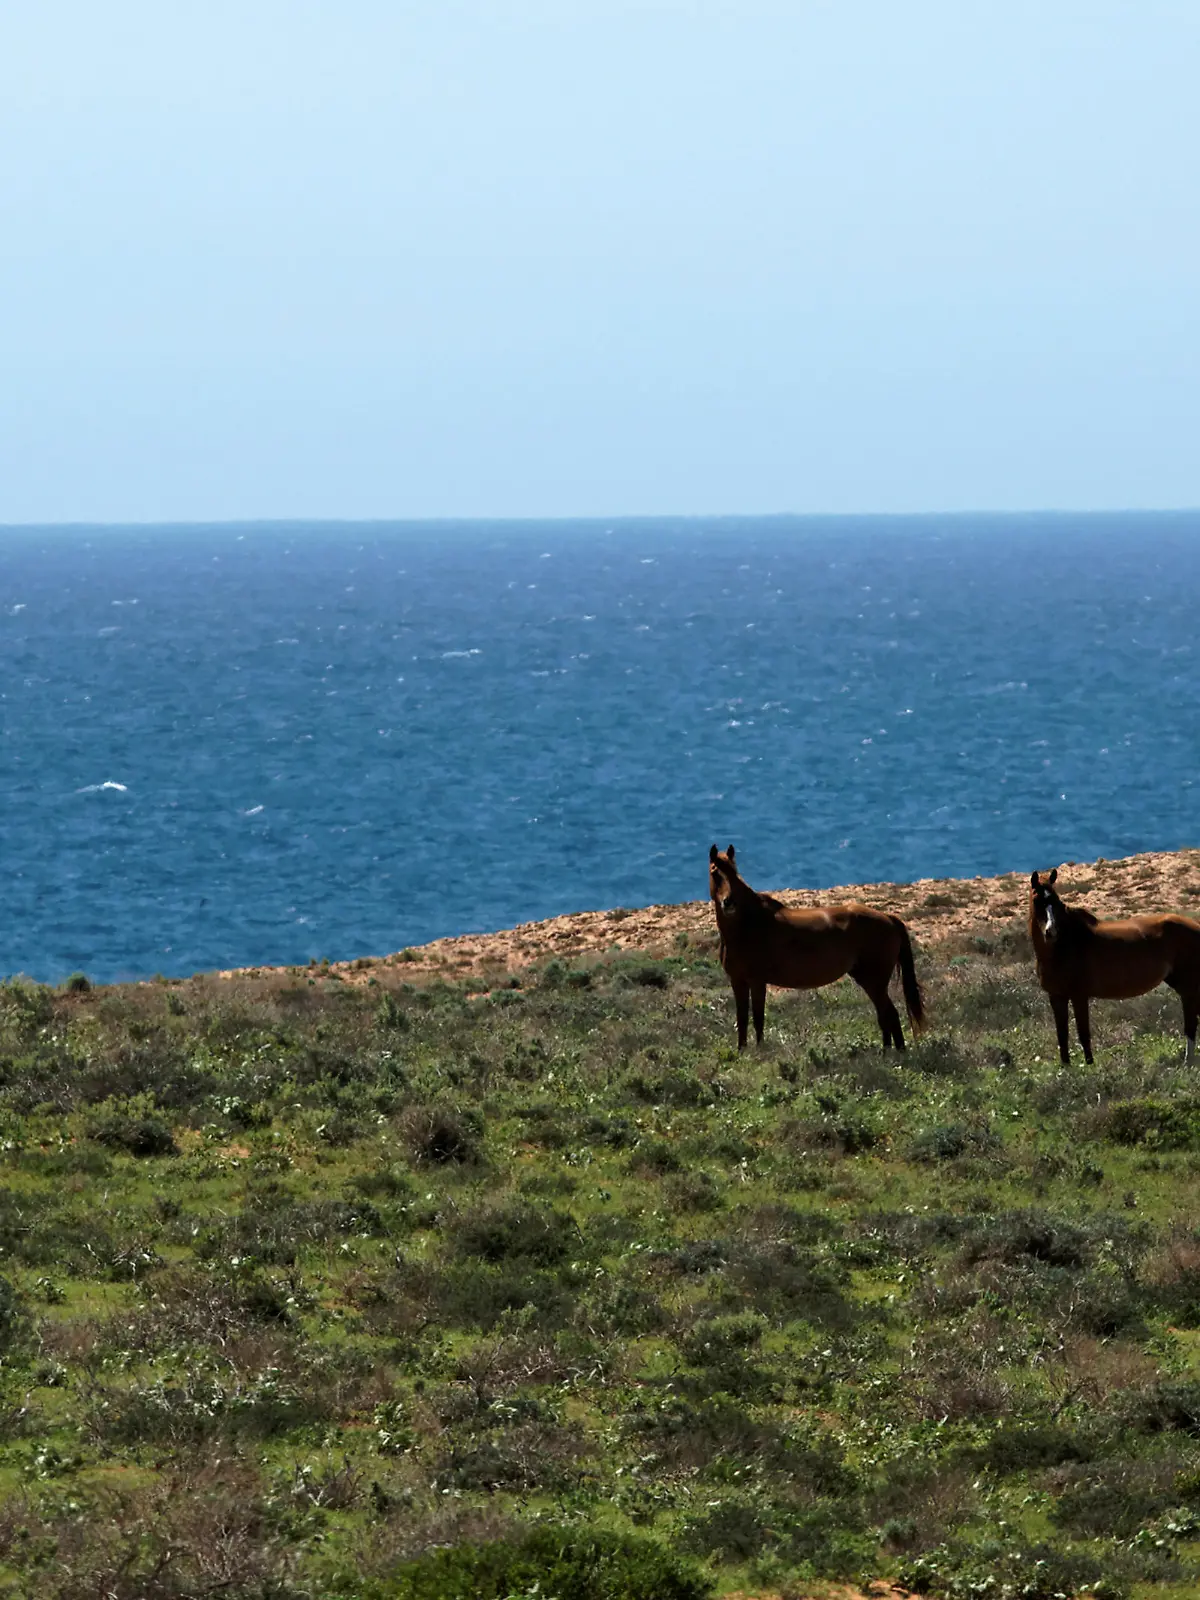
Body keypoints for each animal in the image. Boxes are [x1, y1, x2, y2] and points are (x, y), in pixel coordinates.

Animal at [708, 844, 925, 1050]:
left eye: (734, 874)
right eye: (715, 873)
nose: (729, 903)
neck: (748, 925)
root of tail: (888, 918)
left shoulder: (757, 981)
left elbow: (758, 1020)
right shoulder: (738, 981)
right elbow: (742, 1020)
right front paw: (742, 1051)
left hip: (875, 981)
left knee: (890, 1015)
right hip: (869, 981)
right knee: (885, 1016)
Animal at [1030, 868, 1200, 1065]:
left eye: (1056, 901)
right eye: (1037, 900)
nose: (1051, 932)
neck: (1063, 946)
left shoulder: (1079, 996)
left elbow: (1083, 1034)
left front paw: (1089, 1067)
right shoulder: (1056, 997)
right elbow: (1062, 1035)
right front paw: (1066, 1068)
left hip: (1188, 987)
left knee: (1191, 1023)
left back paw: (1188, 1062)